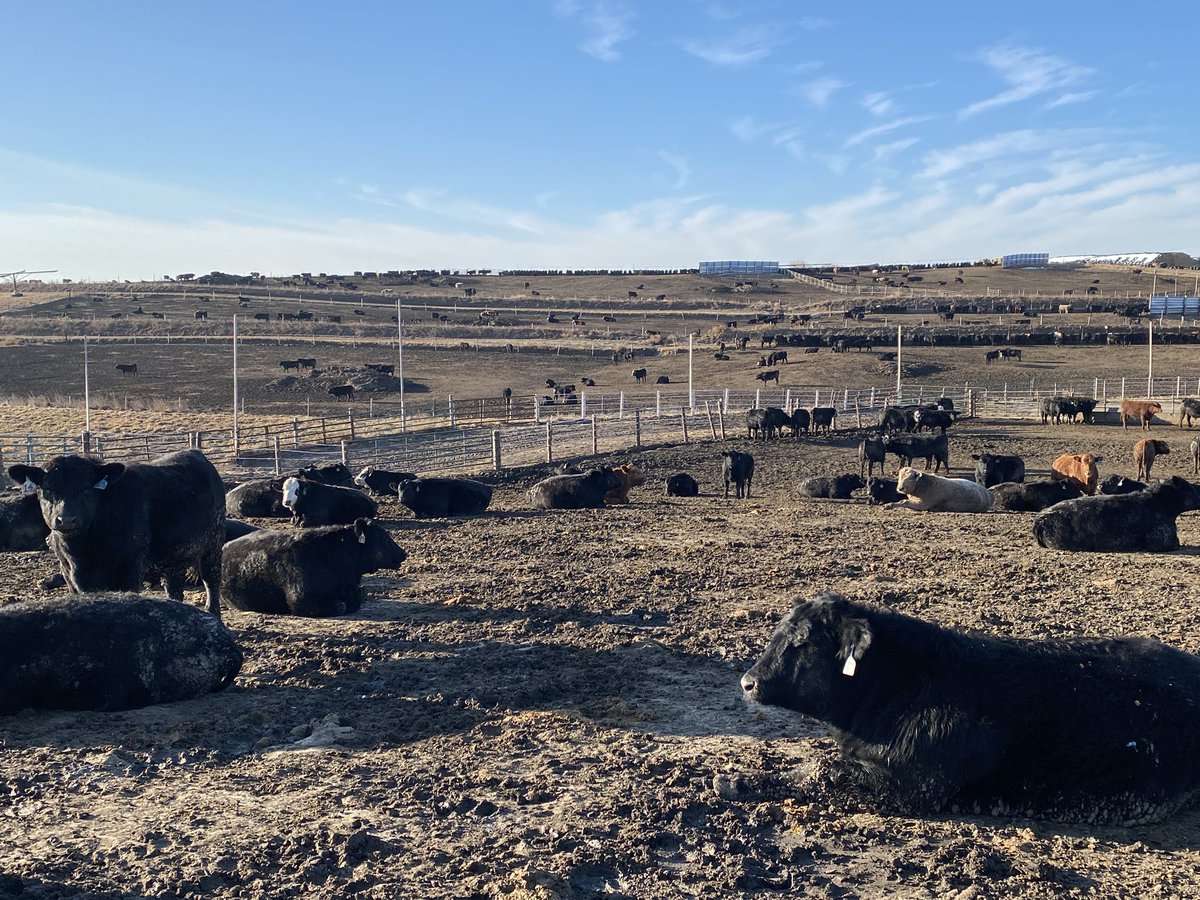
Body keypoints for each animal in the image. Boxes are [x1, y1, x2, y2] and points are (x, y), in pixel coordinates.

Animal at [9, 450, 225, 616]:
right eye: (47, 489)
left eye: (86, 489)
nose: (66, 519)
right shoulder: (69, 574)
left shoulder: (131, 569)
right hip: (173, 557)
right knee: (174, 589)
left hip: (212, 546)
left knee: (211, 582)